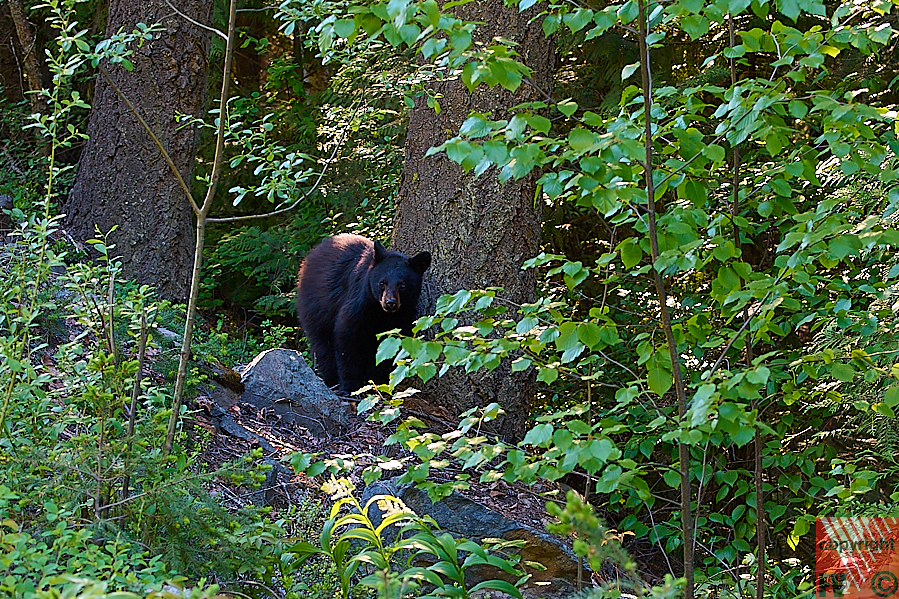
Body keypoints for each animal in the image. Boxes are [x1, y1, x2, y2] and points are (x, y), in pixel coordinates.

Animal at [296, 234, 431, 394]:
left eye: (402, 284)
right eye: (382, 282)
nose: (390, 302)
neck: (381, 313)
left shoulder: (402, 316)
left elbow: (387, 348)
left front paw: (379, 381)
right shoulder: (358, 304)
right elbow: (347, 337)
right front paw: (350, 385)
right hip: (316, 306)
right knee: (322, 344)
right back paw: (330, 378)